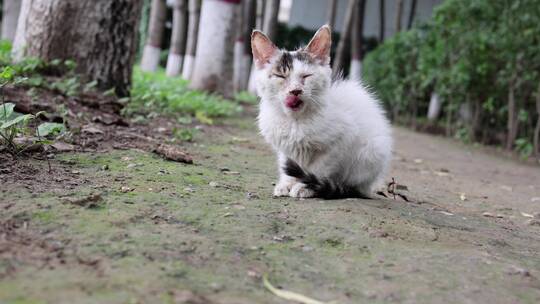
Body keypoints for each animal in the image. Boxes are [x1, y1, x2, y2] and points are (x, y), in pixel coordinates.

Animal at [249, 25, 392, 198]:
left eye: (306, 76)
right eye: (280, 76)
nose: (295, 91)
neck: (295, 121)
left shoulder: (339, 143)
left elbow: (319, 168)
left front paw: (305, 186)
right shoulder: (285, 148)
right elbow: (288, 165)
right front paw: (287, 184)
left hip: (370, 153)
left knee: (352, 184)